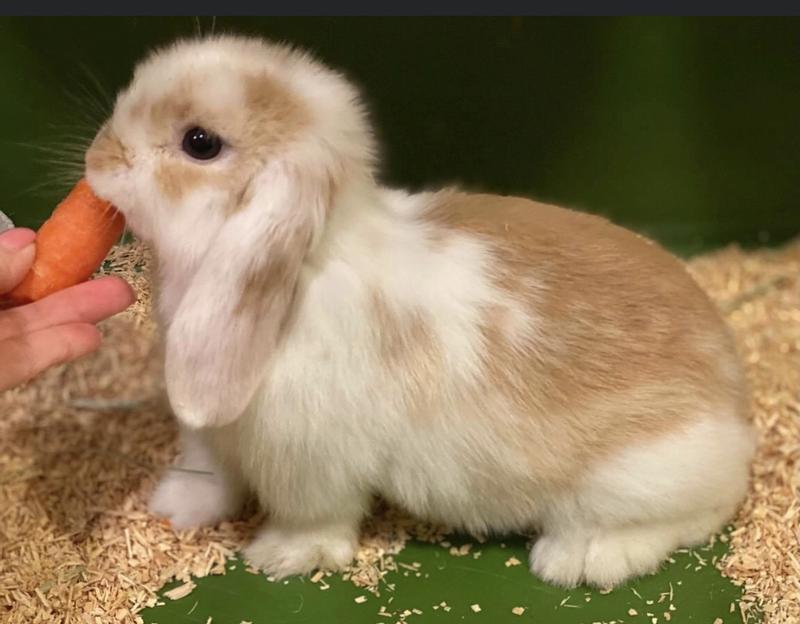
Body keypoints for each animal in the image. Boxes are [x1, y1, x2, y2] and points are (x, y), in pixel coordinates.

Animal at [84, 34, 757, 589]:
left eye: (199, 143)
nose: (97, 161)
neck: (306, 266)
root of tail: (737, 408)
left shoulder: (311, 463)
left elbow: (315, 518)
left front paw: (280, 557)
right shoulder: (211, 434)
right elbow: (212, 475)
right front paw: (174, 506)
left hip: (642, 478)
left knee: (696, 515)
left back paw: (579, 558)